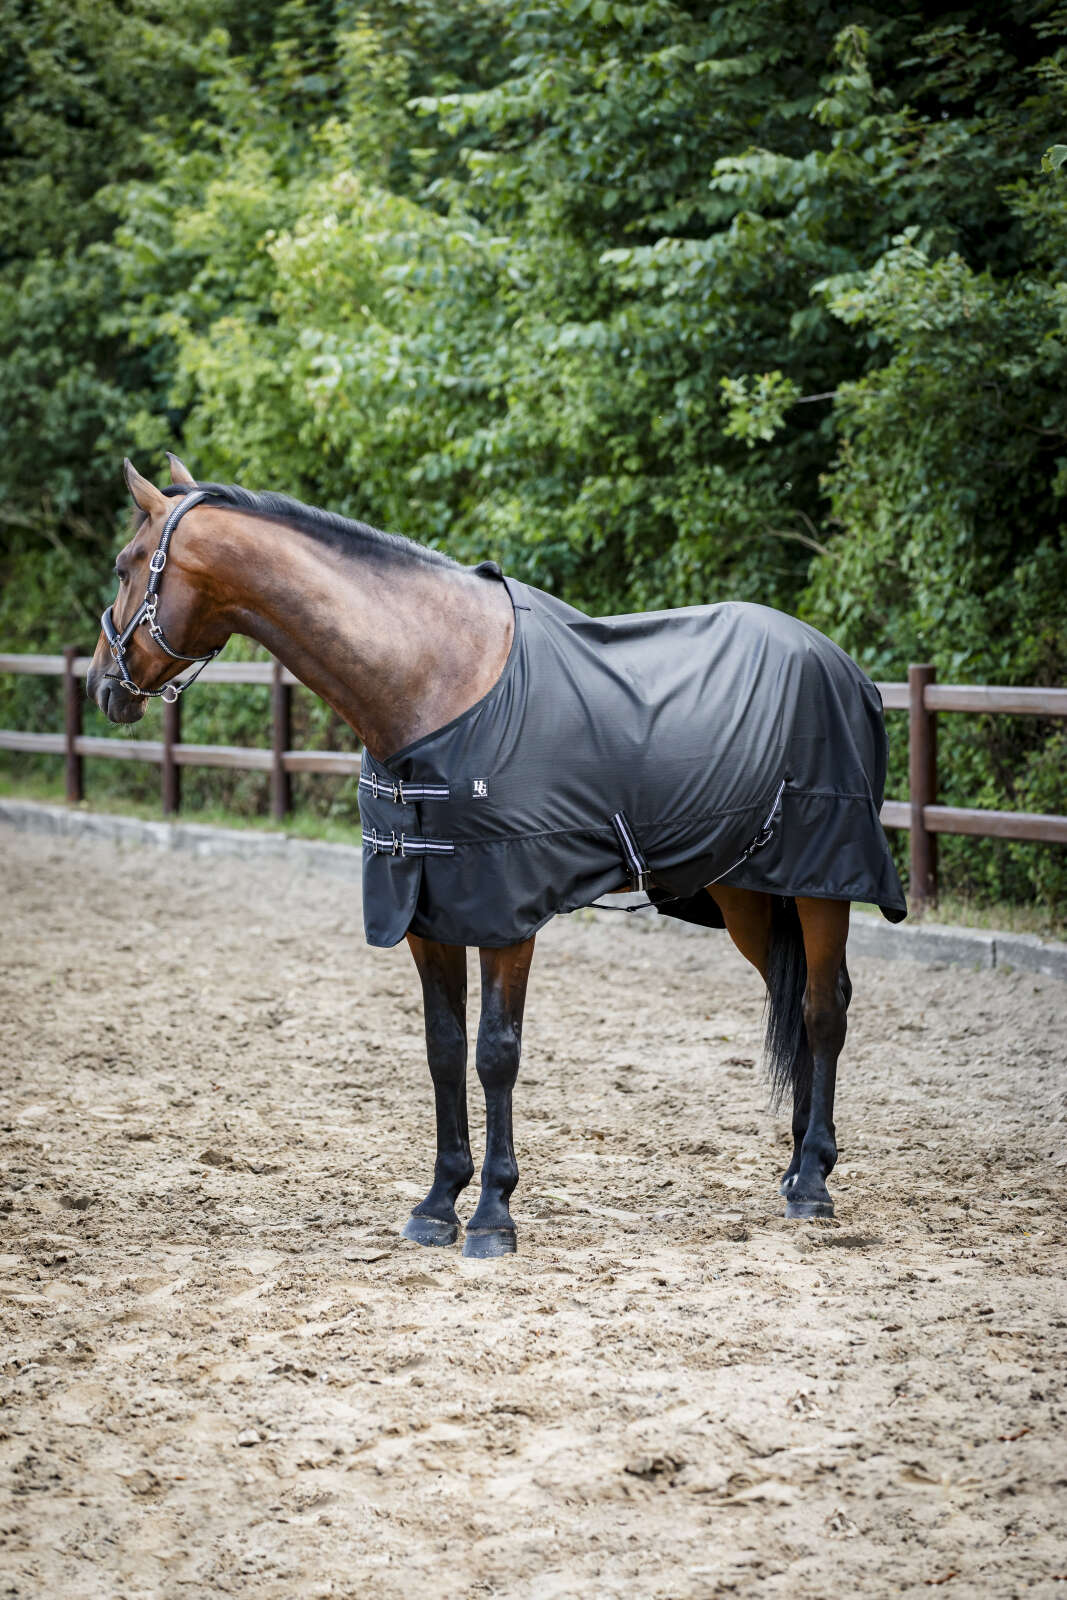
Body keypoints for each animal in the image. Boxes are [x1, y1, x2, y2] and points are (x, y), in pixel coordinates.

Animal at [86, 456, 906, 1256]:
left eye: (126, 565)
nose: (101, 685)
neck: (432, 683)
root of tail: (846, 667)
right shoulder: (426, 915)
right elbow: (444, 1051)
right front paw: (437, 1203)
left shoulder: (506, 915)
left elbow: (495, 1053)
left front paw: (491, 1215)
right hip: (746, 894)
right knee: (791, 1003)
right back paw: (796, 1164)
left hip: (822, 884)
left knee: (822, 1009)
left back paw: (812, 1184)